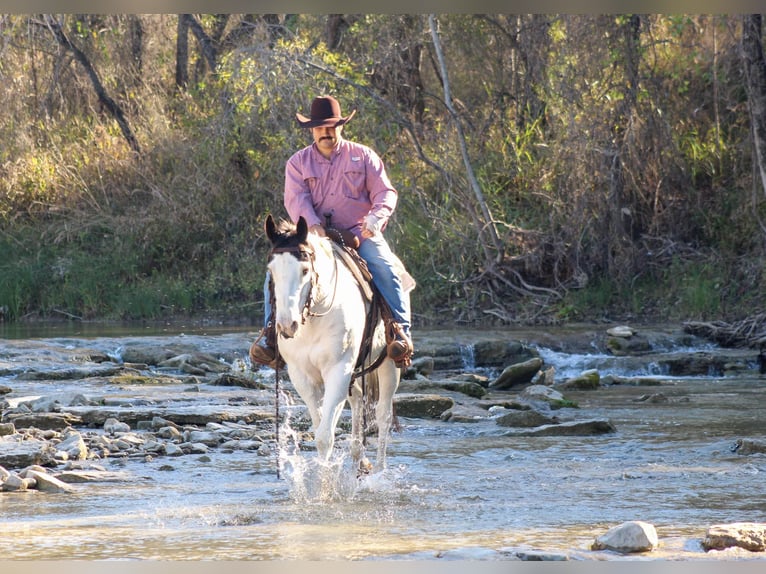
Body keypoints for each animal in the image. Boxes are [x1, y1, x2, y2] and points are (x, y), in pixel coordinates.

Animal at [266, 214, 402, 474]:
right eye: (271, 270)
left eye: (305, 270)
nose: (287, 326)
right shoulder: (302, 376)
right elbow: (319, 425)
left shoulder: (338, 370)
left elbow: (324, 436)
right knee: (358, 400)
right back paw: (359, 459)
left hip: (388, 364)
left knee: (383, 415)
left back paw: (379, 471)